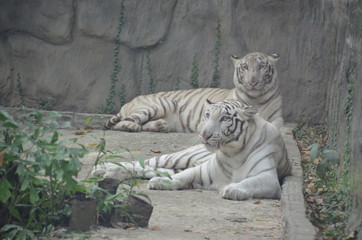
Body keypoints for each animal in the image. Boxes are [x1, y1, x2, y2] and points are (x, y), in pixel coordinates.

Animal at [95, 100, 292, 201]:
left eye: (224, 118)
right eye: (207, 115)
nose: (205, 134)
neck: (232, 152)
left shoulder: (268, 178)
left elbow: (250, 182)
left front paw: (232, 189)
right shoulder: (203, 171)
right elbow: (183, 176)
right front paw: (162, 182)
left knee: (148, 169)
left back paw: (111, 172)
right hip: (176, 158)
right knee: (143, 163)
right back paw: (103, 168)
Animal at [103, 51, 284, 132]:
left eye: (261, 66)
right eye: (245, 67)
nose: (253, 82)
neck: (256, 98)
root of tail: (129, 101)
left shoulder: (278, 118)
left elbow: (275, 125)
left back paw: (161, 126)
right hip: (161, 104)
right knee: (123, 122)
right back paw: (130, 126)